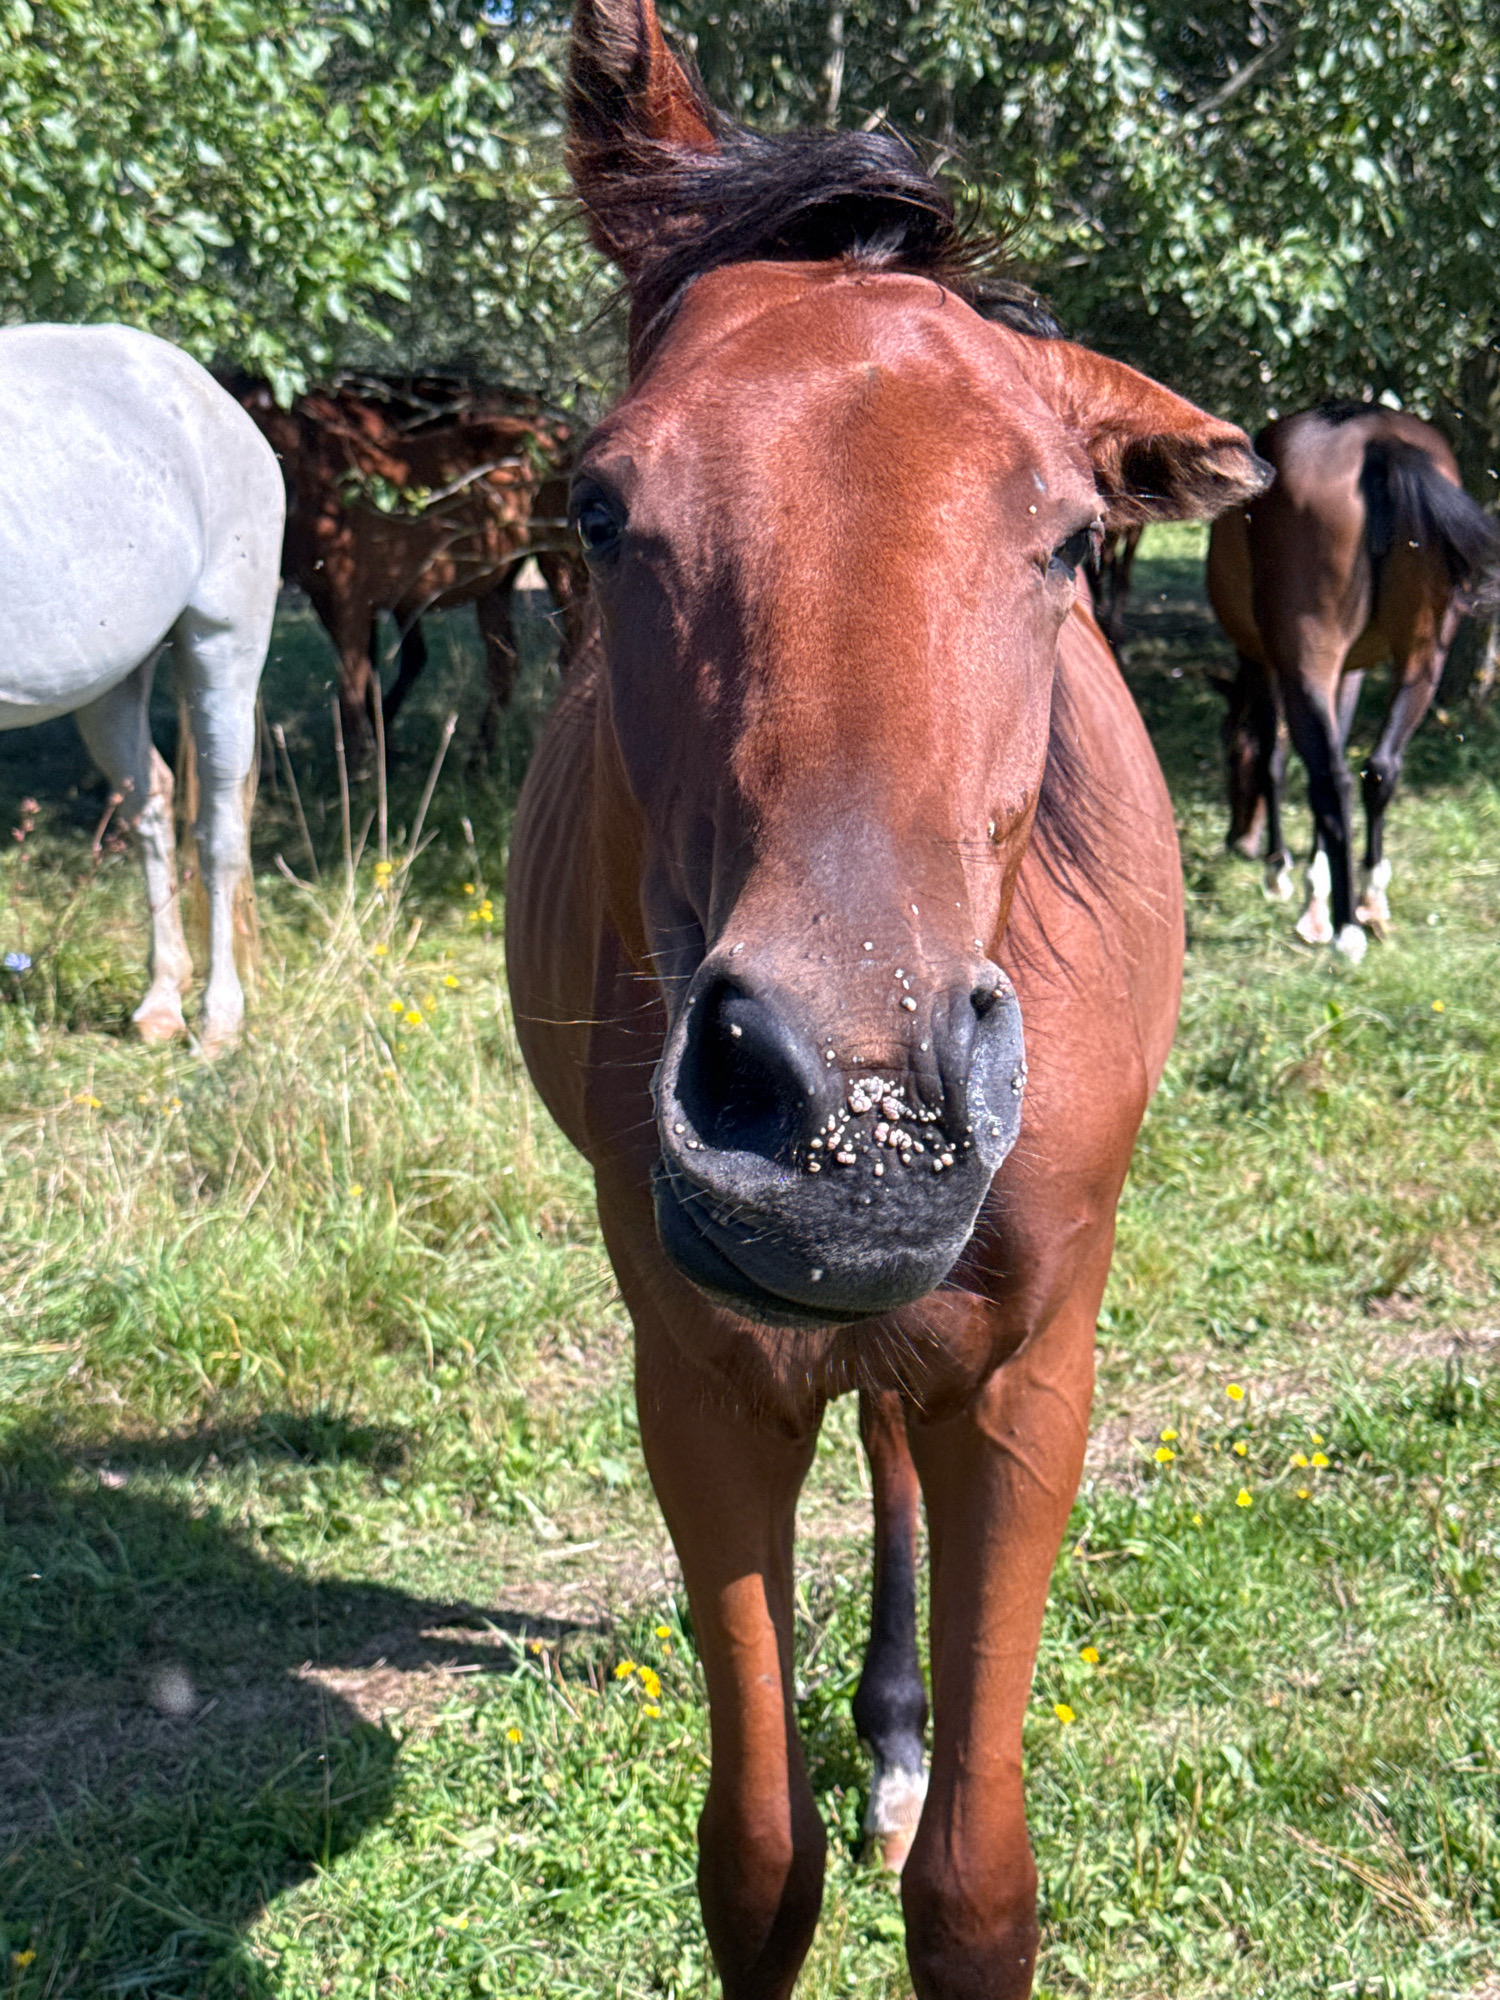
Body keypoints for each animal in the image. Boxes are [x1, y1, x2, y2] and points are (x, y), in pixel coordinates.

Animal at [0, 325, 282, 1052]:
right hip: (110, 680)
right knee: (149, 804)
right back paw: (161, 1000)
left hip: (223, 645)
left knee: (217, 830)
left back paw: (218, 1020)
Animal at [229, 374, 586, 757]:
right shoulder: (330, 601)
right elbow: (366, 677)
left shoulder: (351, 601)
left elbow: (353, 683)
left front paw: (365, 757)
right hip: (497, 580)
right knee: (504, 662)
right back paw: (480, 756)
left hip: (560, 560)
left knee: (570, 648)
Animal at [504, 4, 1269, 1992]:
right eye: (600, 509)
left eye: (1071, 540)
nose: (853, 1114)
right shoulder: (700, 1383)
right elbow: (755, 1865)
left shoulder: (1028, 1381)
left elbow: (979, 1894)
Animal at [1207, 402, 1500, 956]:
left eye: (1231, 759)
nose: (1237, 841)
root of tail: (1379, 440)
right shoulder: (1351, 670)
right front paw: (1316, 891)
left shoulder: (1270, 666)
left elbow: (1275, 761)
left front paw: (1283, 872)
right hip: (1423, 658)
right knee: (1380, 768)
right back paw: (1368, 900)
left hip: (1309, 657)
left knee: (1332, 778)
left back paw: (1345, 930)